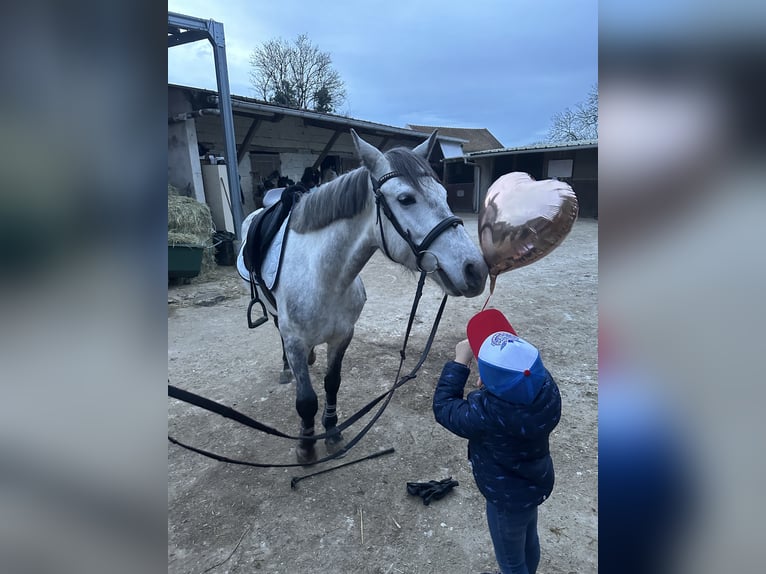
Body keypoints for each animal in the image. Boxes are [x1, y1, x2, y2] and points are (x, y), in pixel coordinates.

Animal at [239, 129, 488, 464]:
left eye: (444, 194)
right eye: (406, 199)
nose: (476, 269)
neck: (325, 278)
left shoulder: (343, 336)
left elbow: (332, 384)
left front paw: (332, 433)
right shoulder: (294, 340)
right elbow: (306, 399)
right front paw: (306, 446)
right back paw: (286, 369)